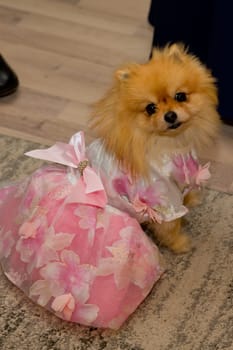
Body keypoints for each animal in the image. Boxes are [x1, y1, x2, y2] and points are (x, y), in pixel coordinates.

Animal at [88, 43, 220, 253]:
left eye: (180, 96)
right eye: (150, 108)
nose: (170, 115)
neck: (171, 146)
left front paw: (189, 203)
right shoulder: (164, 198)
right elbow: (170, 226)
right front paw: (180, 243)